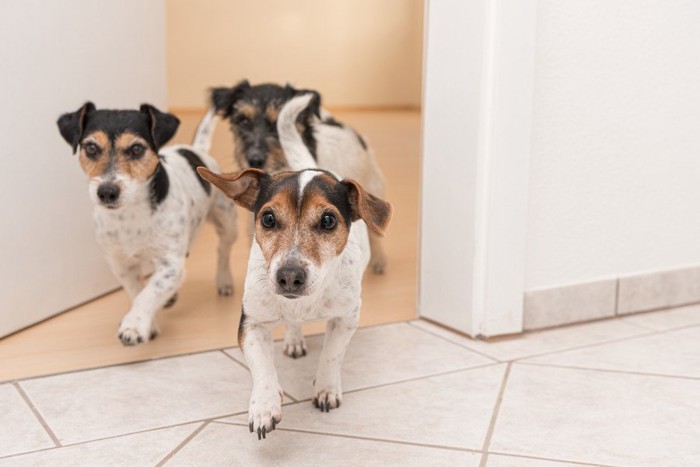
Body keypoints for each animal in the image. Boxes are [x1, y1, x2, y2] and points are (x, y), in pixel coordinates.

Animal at [57, 103, 238, 344]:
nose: (106, 192)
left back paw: (224, 280)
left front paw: (134, 326)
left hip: (227, 222)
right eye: (91, 148)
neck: (130, 216)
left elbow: (149, 292)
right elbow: (138, 291)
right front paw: (148, 322)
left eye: (136, 149)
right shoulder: (120, 264)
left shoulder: (171, 263)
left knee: (223, 250)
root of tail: (196, 149)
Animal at [198, 94, 394, 438]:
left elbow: (331, 355)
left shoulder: (347, 318)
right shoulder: (251, 323)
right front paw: (264, 404)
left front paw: (326, 388)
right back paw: (293, 339)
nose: (289, 277)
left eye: (328, 220)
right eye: (268, 218)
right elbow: (262, 368)